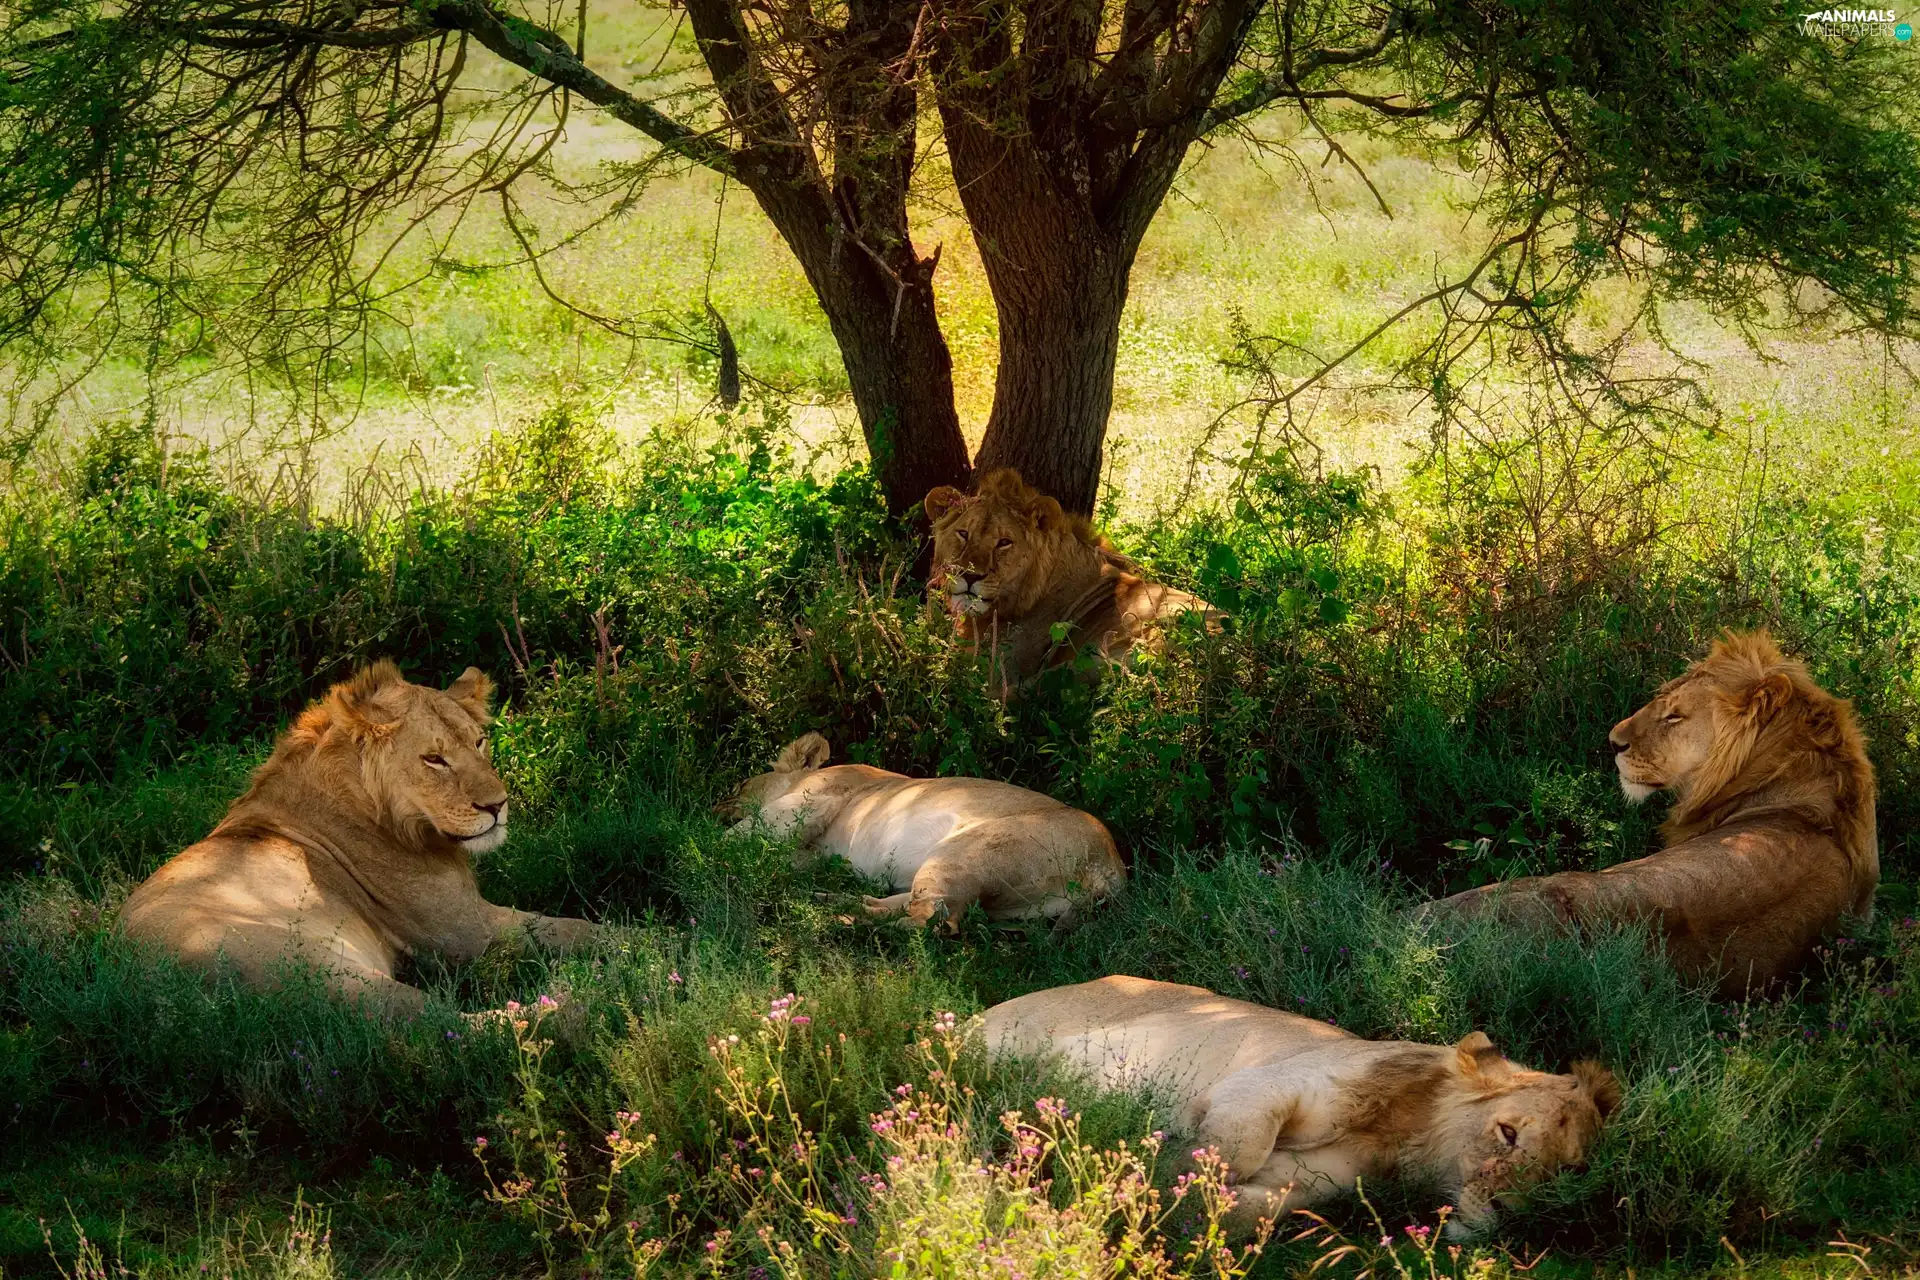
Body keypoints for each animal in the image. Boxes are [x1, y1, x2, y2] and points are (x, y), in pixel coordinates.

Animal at [119, 662, 598, 1019]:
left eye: (480, 742)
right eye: (434, 759)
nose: (497, 805)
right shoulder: (466, 932)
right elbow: (577, 929)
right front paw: (620, 950)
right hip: (329, 974)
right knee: (451, 1027)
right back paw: (572, 1009)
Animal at [720, 732, 1126, 932]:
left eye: (739, 785)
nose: (714, 808)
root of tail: (1111, 865)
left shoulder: (816, 798)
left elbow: (742, 834)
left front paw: (710, 842)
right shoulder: (816, 849)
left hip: (960, 854)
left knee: (931, 919)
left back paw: (841, 919)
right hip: (1002, 900)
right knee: (922, 907)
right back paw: (831, 900)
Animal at [984, 976, 1618, 1237]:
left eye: (1567, 1171)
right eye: (1507, 1134)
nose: (1510, 1212)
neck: (1401, 1139)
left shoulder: (1316, 1185)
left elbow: (1249, 1211)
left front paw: (1163, 1191)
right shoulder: (1267, 1081)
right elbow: (1236, 1147)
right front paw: (1161, 1165)